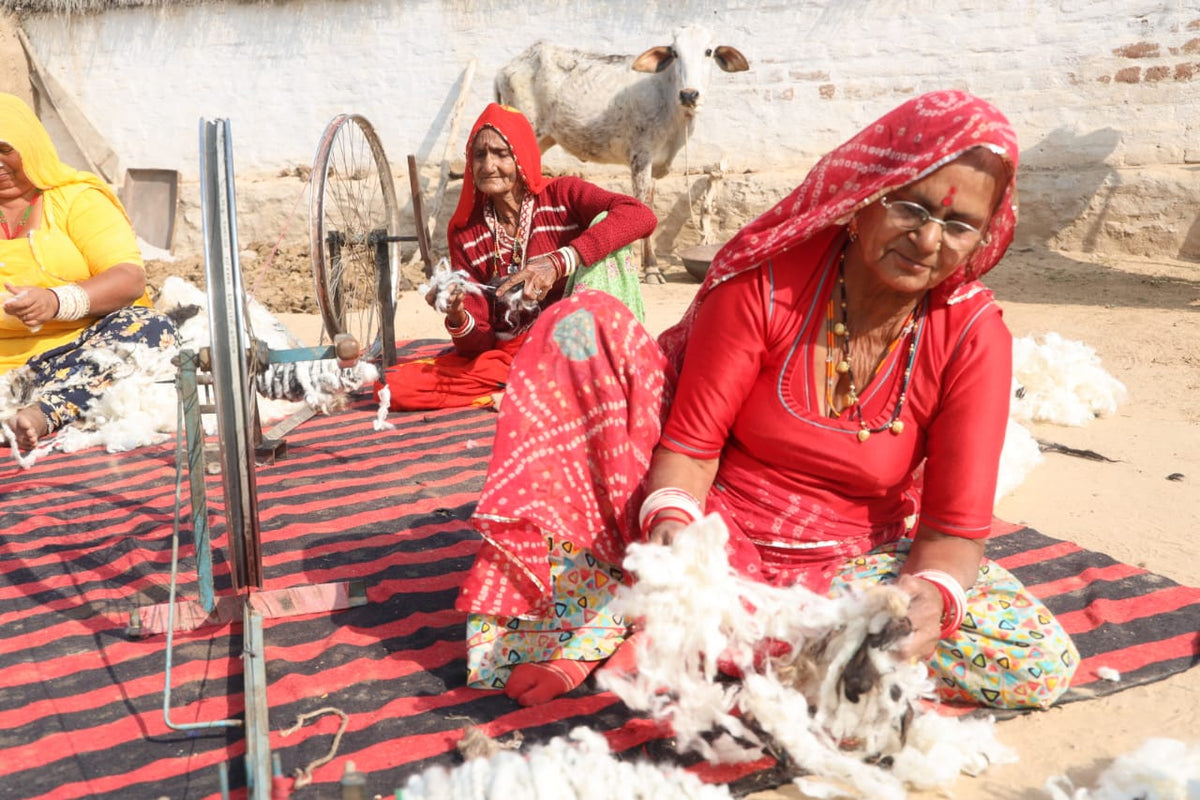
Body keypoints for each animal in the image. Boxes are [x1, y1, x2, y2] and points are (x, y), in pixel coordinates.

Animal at [492, 25, 744, 281]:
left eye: (708, 51)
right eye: (674, 52)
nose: (689, 94)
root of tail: (506, 68)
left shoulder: (655, 163)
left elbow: (650, 204)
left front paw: (645, 262)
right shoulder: (641, 156)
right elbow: (643, 203)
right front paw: (651, 268)